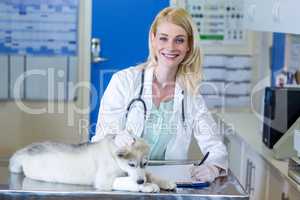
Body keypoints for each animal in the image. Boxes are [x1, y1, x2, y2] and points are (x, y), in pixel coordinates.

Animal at [9, 136, 176, 192]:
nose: (141, 181)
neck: (113, 157)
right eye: (131, 164)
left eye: (145, 163)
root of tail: (26, 150)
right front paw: (147, 186)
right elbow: (127, 181)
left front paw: (164, 182)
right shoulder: (105, 180)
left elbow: (150, 174)